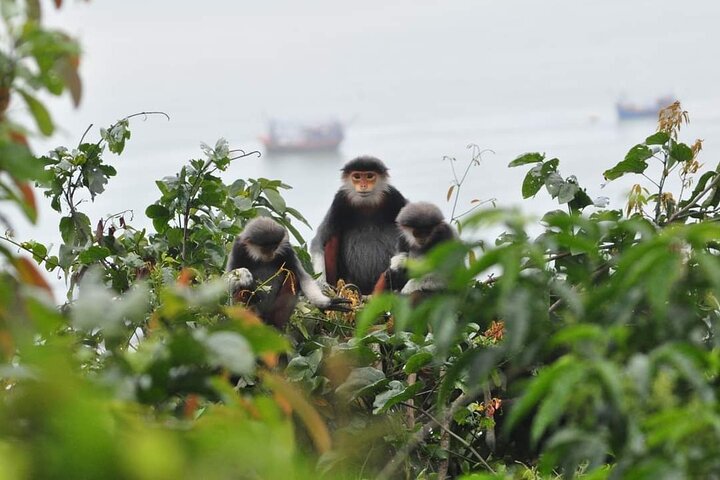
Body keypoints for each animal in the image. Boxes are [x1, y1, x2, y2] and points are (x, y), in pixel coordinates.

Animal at [310, 156, 408, 295]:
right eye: (356, 176)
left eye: (369, 176)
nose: (363, 185)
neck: (366, 204)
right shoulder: (339, 201)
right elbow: (318, 241)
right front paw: (321, 284)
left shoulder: (394, 197)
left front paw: (396, 267)